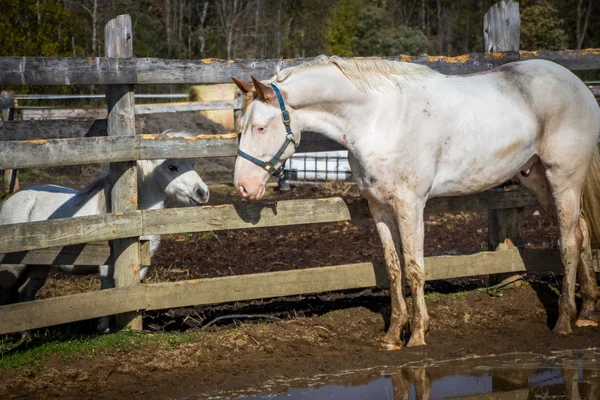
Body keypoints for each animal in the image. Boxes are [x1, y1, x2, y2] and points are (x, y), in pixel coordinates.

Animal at [0, 141, 209, 332]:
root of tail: (10, 202)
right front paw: (104, 328)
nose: (203, 192)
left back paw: (26, 335)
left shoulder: (141, 267)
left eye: (192, 164)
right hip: (12, 265)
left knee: (25, 293)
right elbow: (108, 290)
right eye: (172, 167)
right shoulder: (107, 265)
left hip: (38, 266)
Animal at [232, 56, 600, 350]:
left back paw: (564, 322)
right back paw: (587, 312)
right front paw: (393, 335)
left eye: (260, 127)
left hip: (563, 178)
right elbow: (393, 268)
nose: (244, 186)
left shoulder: (410, 205)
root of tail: (579, 87)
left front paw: (418, 334)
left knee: (568, 242)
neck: (377, 119)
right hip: (537, 179)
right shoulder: (379, 207)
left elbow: (414, 267)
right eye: (241, 128)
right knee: (580, 232)